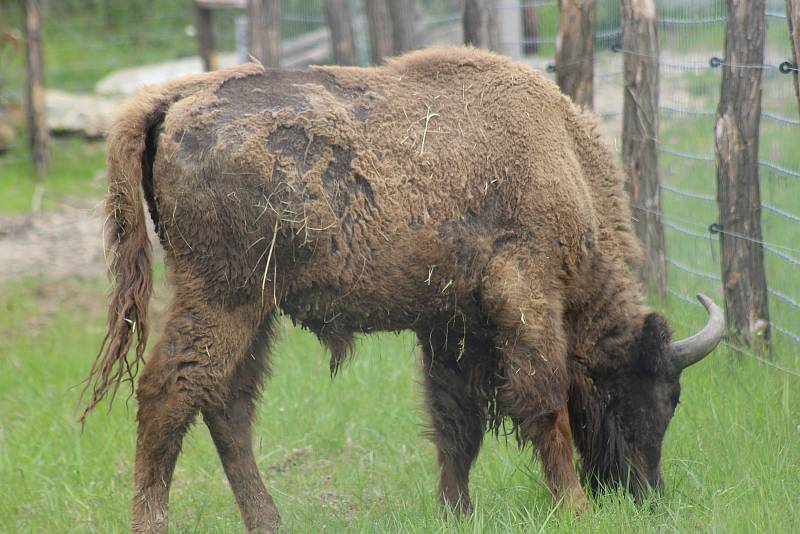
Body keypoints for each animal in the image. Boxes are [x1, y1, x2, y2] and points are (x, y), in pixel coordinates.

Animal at [81, 48, 724, 532]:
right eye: (660, 395)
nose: (646, 494)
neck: (561, 157)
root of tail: (175, 99)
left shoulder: (451, 326)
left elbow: (456, 423)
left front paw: (455, 513)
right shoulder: (524, 296)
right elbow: (545, 403)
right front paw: (575, 509)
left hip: (255, 310)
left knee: (227, 404)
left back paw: (269, 521)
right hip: (223, 298)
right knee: (170, 392)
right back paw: (154, 523)